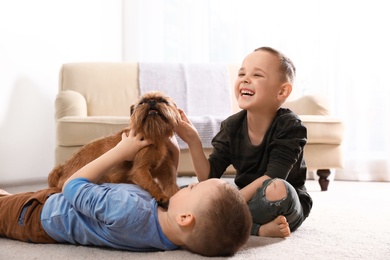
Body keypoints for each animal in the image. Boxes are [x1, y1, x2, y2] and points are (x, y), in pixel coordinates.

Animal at [48, 91, 181, 203]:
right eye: (142, 103)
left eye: (163, 101)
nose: (152, 101)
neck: (155, 136)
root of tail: (62, 167)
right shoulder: (140, 170)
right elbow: (152, 183)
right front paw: (162, 196)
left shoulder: (168, 175)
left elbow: (173, 189)